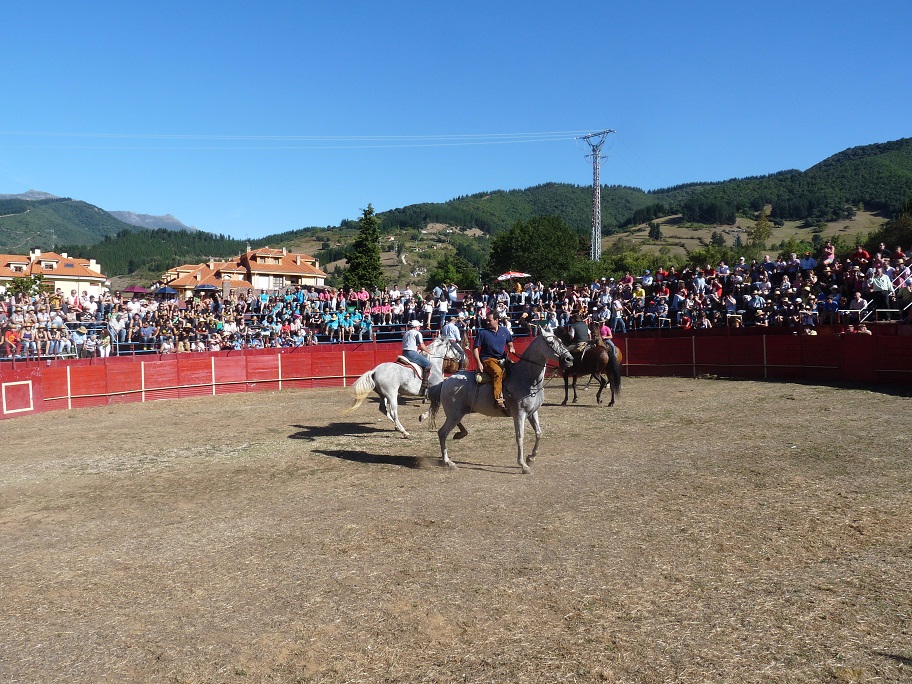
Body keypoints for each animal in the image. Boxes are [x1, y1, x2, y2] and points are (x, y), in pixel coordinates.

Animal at [418, 328, 568, 476]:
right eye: (550, 342)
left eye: (560, 339)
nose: (569, 358)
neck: (526, 378)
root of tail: (445, 381)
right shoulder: (519, 414)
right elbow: (520, 437)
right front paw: (523, 465)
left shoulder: (532, 412)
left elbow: (539, 433)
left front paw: (531, 458)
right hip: (454, 414)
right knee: (442, 433)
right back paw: (448, 462)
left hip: (459, 412)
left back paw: (460, 435)